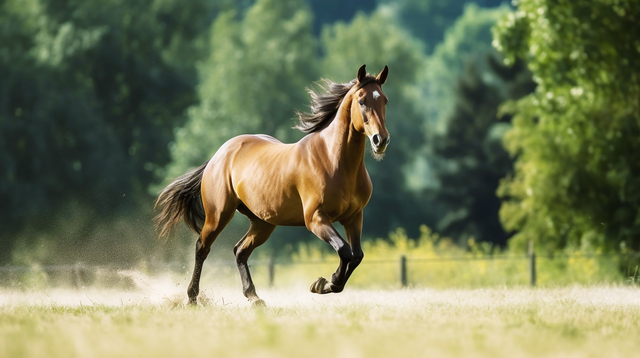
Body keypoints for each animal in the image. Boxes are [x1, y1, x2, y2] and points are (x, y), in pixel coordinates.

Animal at [155, 63, 390, 304]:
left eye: (384, 100)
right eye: (361, 101)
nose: (380, 140)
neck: (334, 160)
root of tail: (219, 155)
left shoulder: (353, 217)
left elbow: (357, 255)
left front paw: (326, 283)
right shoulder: (315, 218)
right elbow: (344, 250)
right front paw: (324, 283)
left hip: (262, 222)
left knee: (240, 251)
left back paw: (254, 297)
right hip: (218, 215)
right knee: (202, 248)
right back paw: (192, 298)